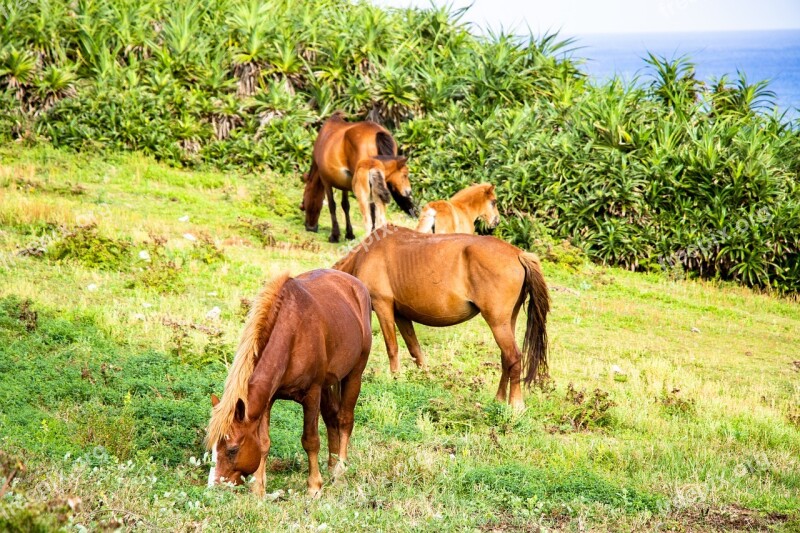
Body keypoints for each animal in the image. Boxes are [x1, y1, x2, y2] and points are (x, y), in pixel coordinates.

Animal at [205, 268, 370, 496]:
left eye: (232, 449)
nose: (214, 488)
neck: (292, 333)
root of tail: (355, 284)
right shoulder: (268, 399)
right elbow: (264, 443)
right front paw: (258, 489)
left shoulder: (312, 394)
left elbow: (310, 440)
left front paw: (314, 487)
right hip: (329, 384)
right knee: (331, 418)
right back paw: (331, 466)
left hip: (354, 374)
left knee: (345, 419)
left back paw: (340, 471)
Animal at [296, 112, 416, 241]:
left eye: (305, 197)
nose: (310, 227)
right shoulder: (344, 184)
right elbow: (345, 205)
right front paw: (349, 234)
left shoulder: (326, 181)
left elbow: (332, 205)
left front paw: (334, 235)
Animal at [332, 227, 552, 410]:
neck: (365, 256)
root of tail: (519, 254)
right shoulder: (402, 315)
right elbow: (416, 351)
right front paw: (426, 380)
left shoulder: (383, 306)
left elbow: (392, 348)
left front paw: (395, 380)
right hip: (507, 322)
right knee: (506, 358)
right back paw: (498, 399)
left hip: (498, 323)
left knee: (513, 356)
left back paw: (515, 405)